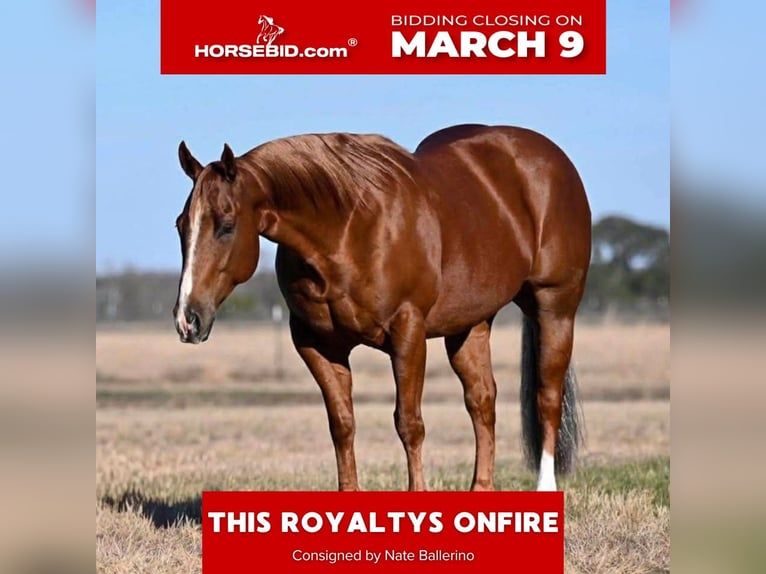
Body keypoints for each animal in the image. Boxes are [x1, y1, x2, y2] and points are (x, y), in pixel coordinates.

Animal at [172, 124, 591, 492]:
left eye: (226, 225)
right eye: (180, 225)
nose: (187, 319)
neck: (346, 229)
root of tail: (552, 160)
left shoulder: (407, 332)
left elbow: (409, 424)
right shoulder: (316, 343)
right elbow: (342, 424)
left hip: (554, 308)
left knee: (547, 397)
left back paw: (545, 489)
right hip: (469, 325)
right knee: (482, 401)